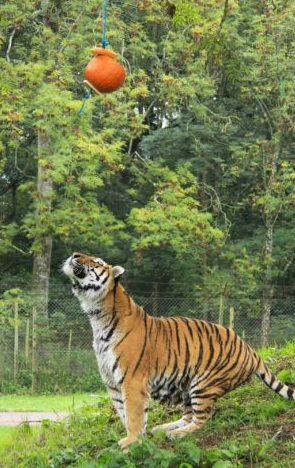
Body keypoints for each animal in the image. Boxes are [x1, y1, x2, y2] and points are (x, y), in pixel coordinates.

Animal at [63, 252, 295, 450]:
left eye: (97, 262)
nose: (74, 254)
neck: (97, 316)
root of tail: (251, 350)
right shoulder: (112, 382)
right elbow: (123, 413)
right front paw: (134, 438)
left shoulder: (132, 380)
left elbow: (134, 414)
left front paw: (132, 441)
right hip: (187, 386)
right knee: (188, 416)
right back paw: (162, 428)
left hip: (204, 384)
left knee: (202, 420)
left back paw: (175, 434)